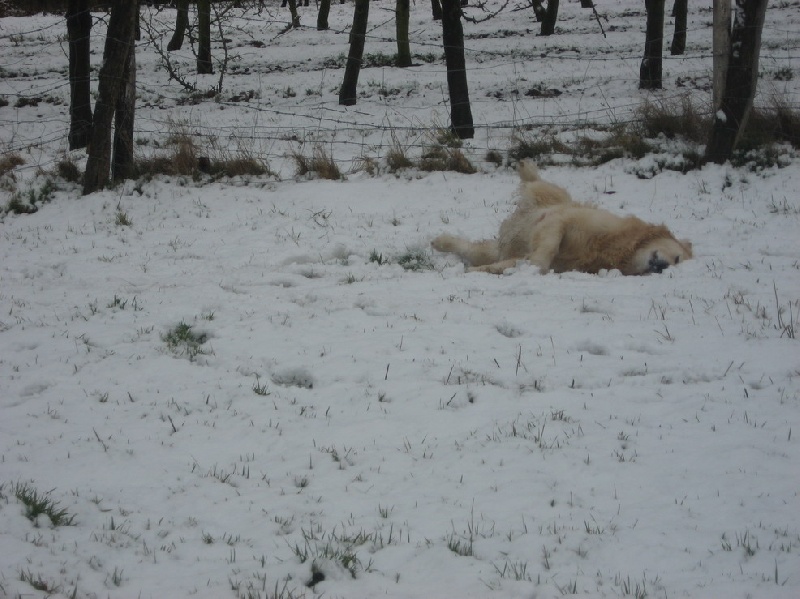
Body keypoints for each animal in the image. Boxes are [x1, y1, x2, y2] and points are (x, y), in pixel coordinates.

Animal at [432, 162, 692, 278]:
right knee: (536, 182)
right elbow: (548, 245)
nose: (663, 266)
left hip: (497, 247)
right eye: (678, 257)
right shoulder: (561, 220)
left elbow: (506, 264)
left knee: (475, 249)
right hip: (548, 196)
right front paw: (535, 264)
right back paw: (525, 165)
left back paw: (441, 242)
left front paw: (479, 271)